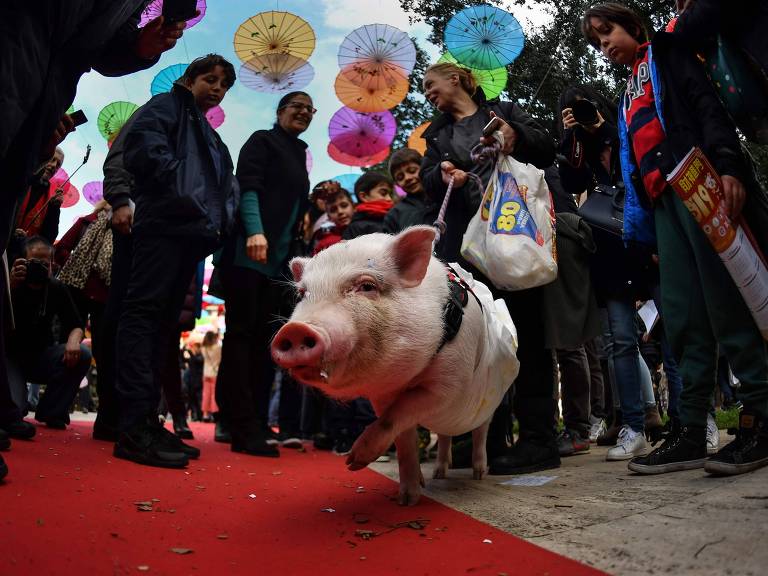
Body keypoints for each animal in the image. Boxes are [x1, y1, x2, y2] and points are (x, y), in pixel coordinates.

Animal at [270, 225, 516, 504]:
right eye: (303, 294)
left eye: (367, 285)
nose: (294, 330)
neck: (406, 379)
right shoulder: (382, 396)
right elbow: (402, 436)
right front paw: (408, 498)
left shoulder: (450, 384)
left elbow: (398, 415)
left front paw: (354, 462)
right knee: (445, 437)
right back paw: (439, 474)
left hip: (489, 404)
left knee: (480, 432)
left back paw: (478, 474)